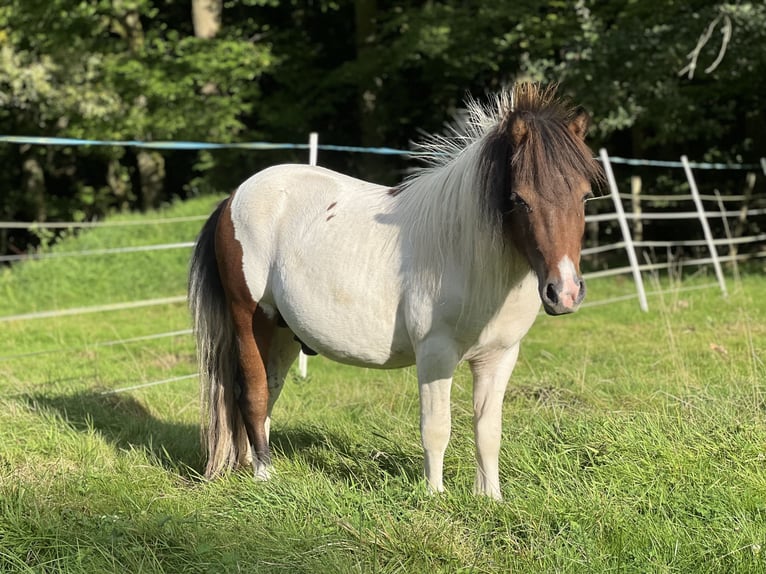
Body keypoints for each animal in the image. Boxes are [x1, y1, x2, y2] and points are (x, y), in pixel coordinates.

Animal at [189, 83, 604, 502]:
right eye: (519, 199)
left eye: (585, 196)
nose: (565, 293)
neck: (465, 253)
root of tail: (234, 198)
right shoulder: (435, 354)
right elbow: (436, 428)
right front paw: (434, 496)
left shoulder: (499, 356)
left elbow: (488, 430)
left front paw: (490, 499)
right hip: (249, 320)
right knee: (253, 394)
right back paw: (264, 475)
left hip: (282, 331)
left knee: (269, 392)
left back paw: (251, 463)